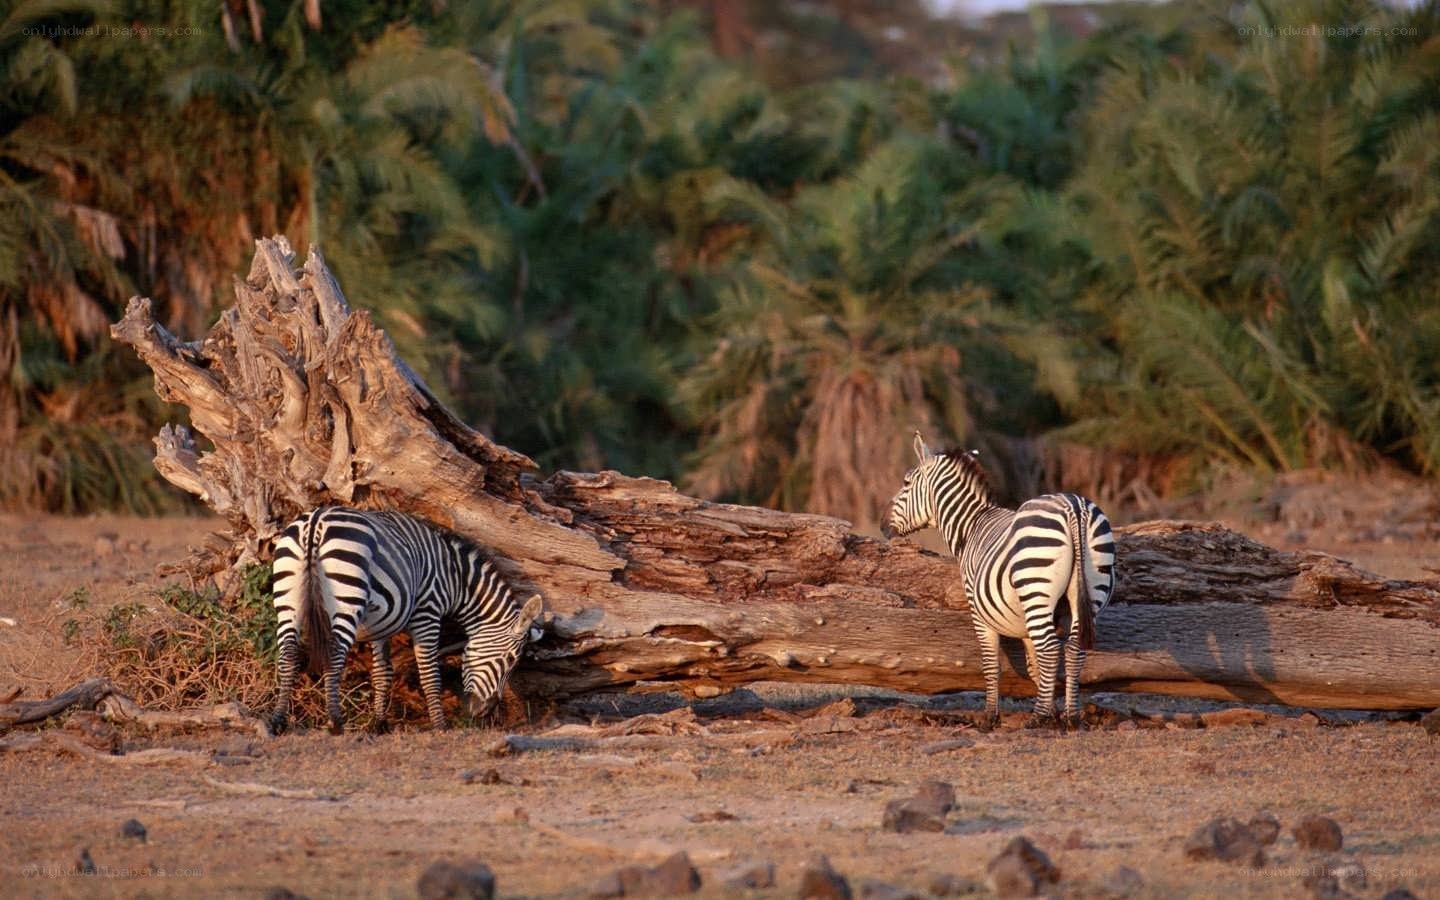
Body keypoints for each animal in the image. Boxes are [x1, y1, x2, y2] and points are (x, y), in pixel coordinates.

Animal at [267, 507, 544, 734]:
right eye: (511, 660)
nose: (484, 712)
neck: (456, 578)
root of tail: (316, 520)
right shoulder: (427, 613)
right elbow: (430, 673)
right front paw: (440, 725)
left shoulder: (381, 624)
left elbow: (382, 672)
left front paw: (379, 723)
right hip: (347, 596)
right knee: (334, 653)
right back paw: (335, 721)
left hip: (288, 595)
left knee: (288, 652)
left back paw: (279, 720)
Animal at [882, 433, 1116, 729]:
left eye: (905, 483)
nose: (882, 526)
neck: (971, 527)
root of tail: (1074, 507)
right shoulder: (1029, 622)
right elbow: (1034, 665)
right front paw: (1052, 710)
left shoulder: (979, 612)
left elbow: (992, 664)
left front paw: (991, 717)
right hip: (1090, 590)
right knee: (1073, 649)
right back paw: (1072, 717)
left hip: (1036, 587)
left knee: (1051, 649)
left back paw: (1037, 718)